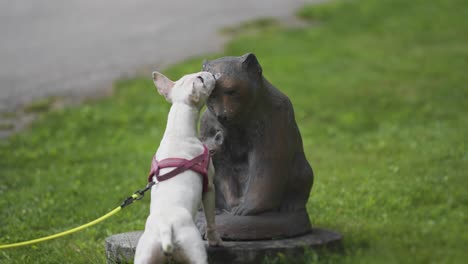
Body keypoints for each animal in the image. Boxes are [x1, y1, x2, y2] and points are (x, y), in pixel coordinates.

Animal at [135, 71, 223, 262]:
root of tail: (166, 228)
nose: (211, 73)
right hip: (194, 249)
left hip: (145, 253)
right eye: (201, 80)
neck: (178, 130)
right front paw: (216, 241)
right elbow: (211, 219)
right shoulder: (209, 187)